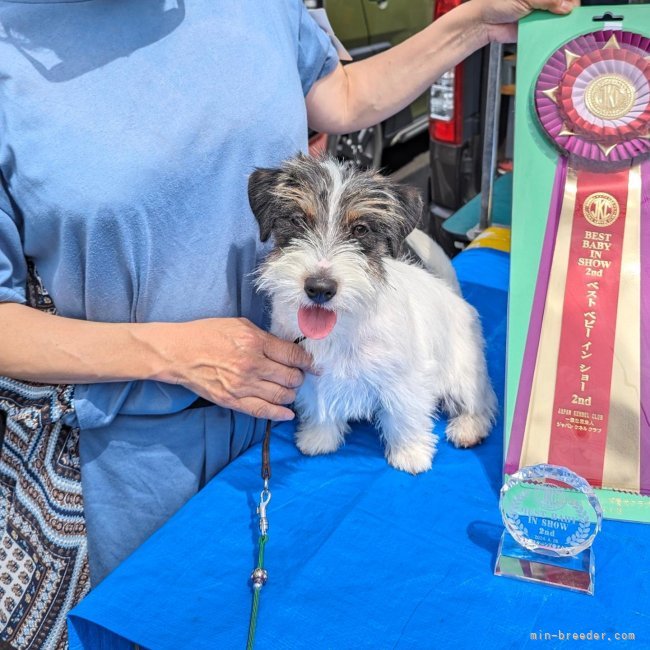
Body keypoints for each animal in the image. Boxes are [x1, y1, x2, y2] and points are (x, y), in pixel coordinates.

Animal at [248, 154, 496, 474]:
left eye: (361, 230)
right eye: (297, 220)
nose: (319, 288)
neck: (342, 325)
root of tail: (452, 294)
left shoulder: (405, 378)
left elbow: (405, 416)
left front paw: (410, 453)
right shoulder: (312, 375)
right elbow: (319, 406)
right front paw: (319, 438)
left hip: (463, 370)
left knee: (481, 399)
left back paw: (469, 427)